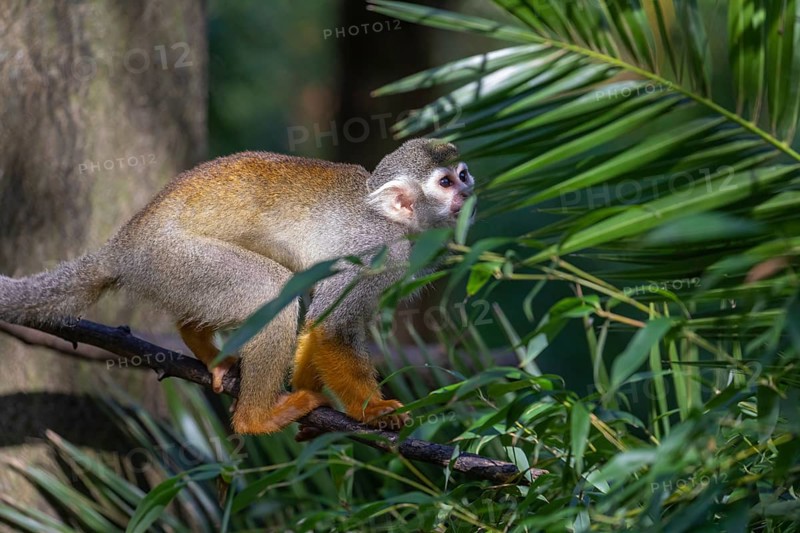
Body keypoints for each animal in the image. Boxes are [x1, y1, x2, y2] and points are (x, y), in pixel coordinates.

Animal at [0, 138, 475, 435]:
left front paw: (313, 395)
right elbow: (332, 327)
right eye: (445, 182)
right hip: (174, 257)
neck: (398, 224)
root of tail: (124, 245)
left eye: (463, 174)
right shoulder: (376, 250)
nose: (467, 192)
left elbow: (317, 326)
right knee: (272, 290)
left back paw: (203, 344)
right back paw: (256, 418)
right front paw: (373, 410)